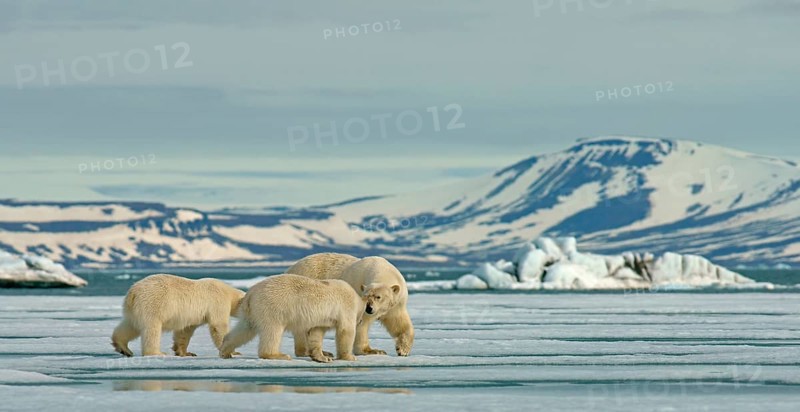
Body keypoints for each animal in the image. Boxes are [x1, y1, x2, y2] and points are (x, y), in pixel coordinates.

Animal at [111, 274, 245, 357]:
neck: (229, 293)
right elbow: (218, 325)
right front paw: (234, 352)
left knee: (130, 326)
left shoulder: (192, 317)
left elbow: (185, 331)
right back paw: (157, 353)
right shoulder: (218, 301)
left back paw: (123, 348)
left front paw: (185, 352)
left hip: (134, 310)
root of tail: (132, 292)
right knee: (152, 329)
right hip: (153, 304)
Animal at [218, 274, 365, 363]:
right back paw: (278, 355)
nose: (360, 321)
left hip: (252, 312)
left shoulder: (322, 320)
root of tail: (250, 293)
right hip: (272, 307)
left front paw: (322, 357)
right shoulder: (346, 307)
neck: (356, 298)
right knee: (272, 331)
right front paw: (349, 357)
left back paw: (225, 350)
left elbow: (316, 332)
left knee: (244, 330)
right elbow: (346, 331)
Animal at [286, 253, 414, 357]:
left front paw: (403, 349)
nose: (369, 308)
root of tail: (290, 269)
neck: (383, 270)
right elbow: (361, 324)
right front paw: (372, 351)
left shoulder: (397, 303)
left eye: (378, 297)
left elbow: (398, 323)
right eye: (366, 296)